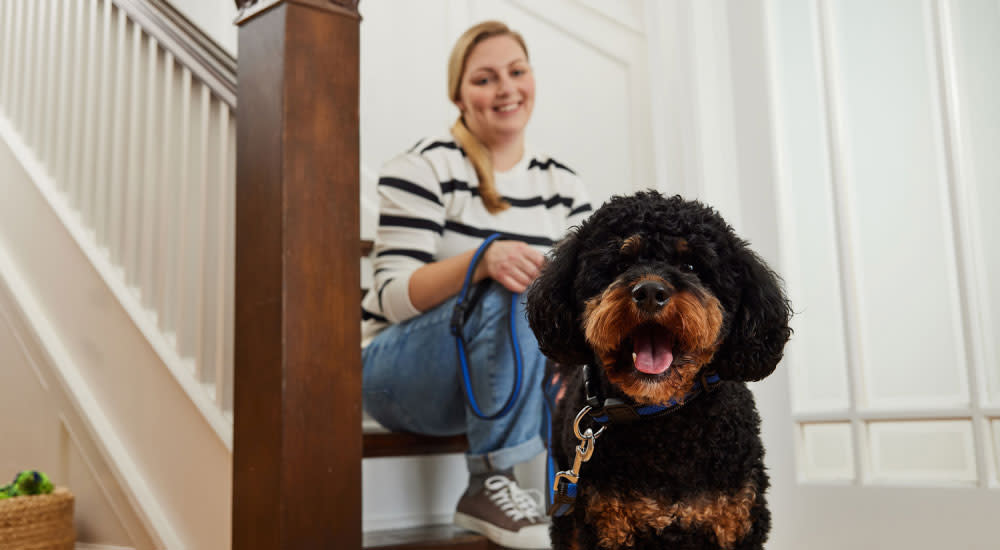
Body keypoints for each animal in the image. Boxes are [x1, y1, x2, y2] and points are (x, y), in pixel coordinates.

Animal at [528, 191, 792, 550]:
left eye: (691, 266)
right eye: (621, 264)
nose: (650, 292)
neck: (662, 420)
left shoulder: (736, 522)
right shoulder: (605, 525)